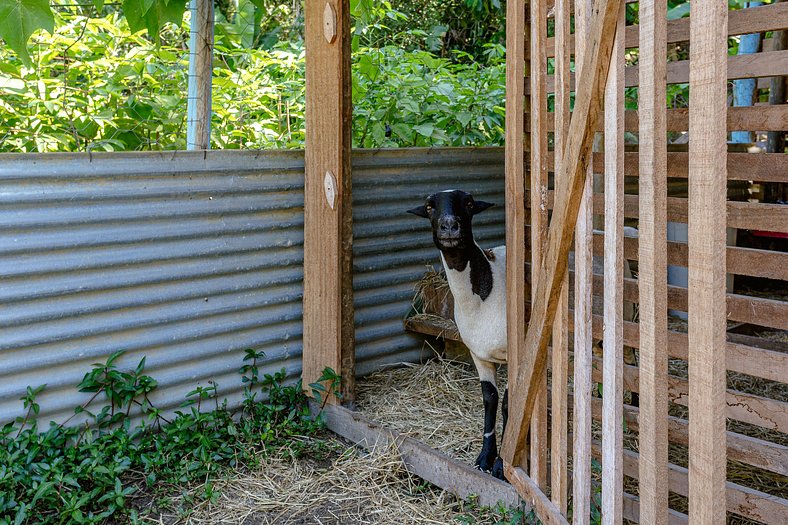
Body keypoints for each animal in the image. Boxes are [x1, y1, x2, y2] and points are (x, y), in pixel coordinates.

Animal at [410, 189, 508, 478]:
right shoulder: (479, 355)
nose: (449, 225)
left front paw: (501, 466)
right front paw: (485, 458)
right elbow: (490, 400)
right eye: (429, 207)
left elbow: (508, 404)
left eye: (470, 203)